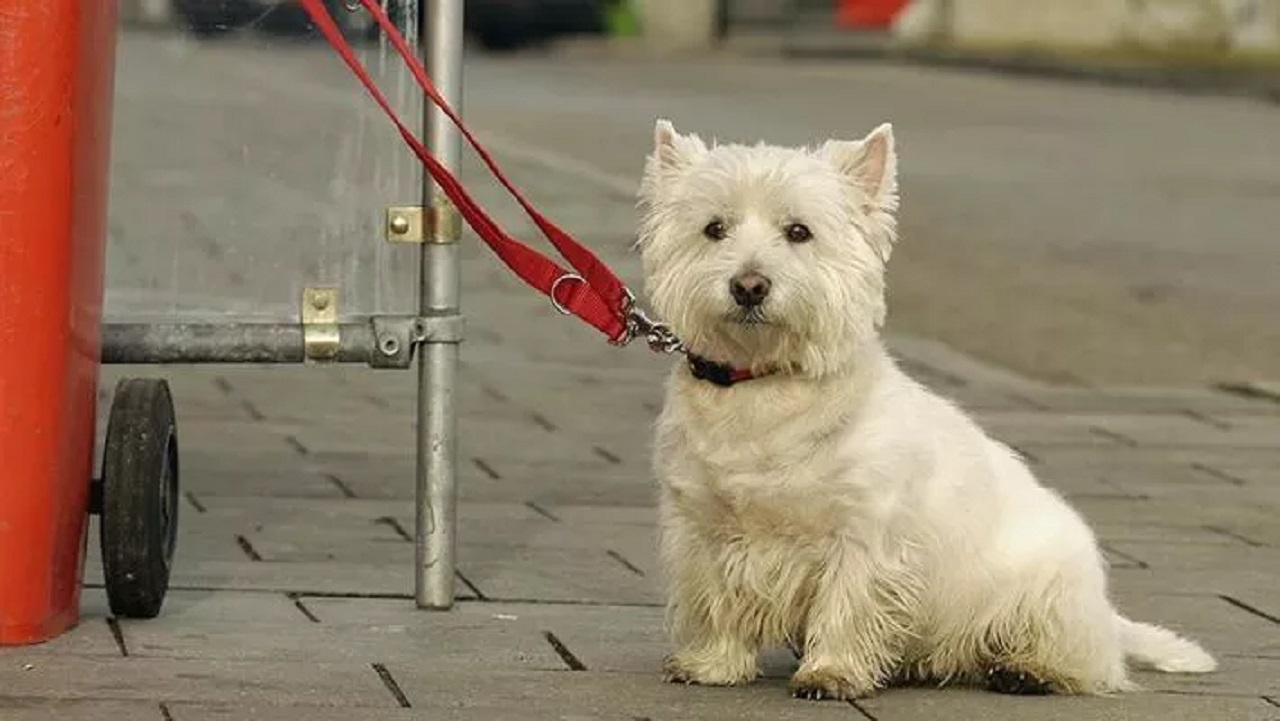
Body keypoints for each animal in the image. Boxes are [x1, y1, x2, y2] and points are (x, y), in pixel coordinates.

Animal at [634, 118, 1213, 701]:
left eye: (799, 232)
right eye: (714, 229)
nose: (749, 286)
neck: (764, 389)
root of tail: (1104, 611)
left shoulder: (866, 531)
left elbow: (848, 604)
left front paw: (831, 672)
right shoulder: (703, 527)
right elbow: (716, 602)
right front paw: (712, 664)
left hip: (1045, 594)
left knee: (1087, 660)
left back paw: (1028, 669)